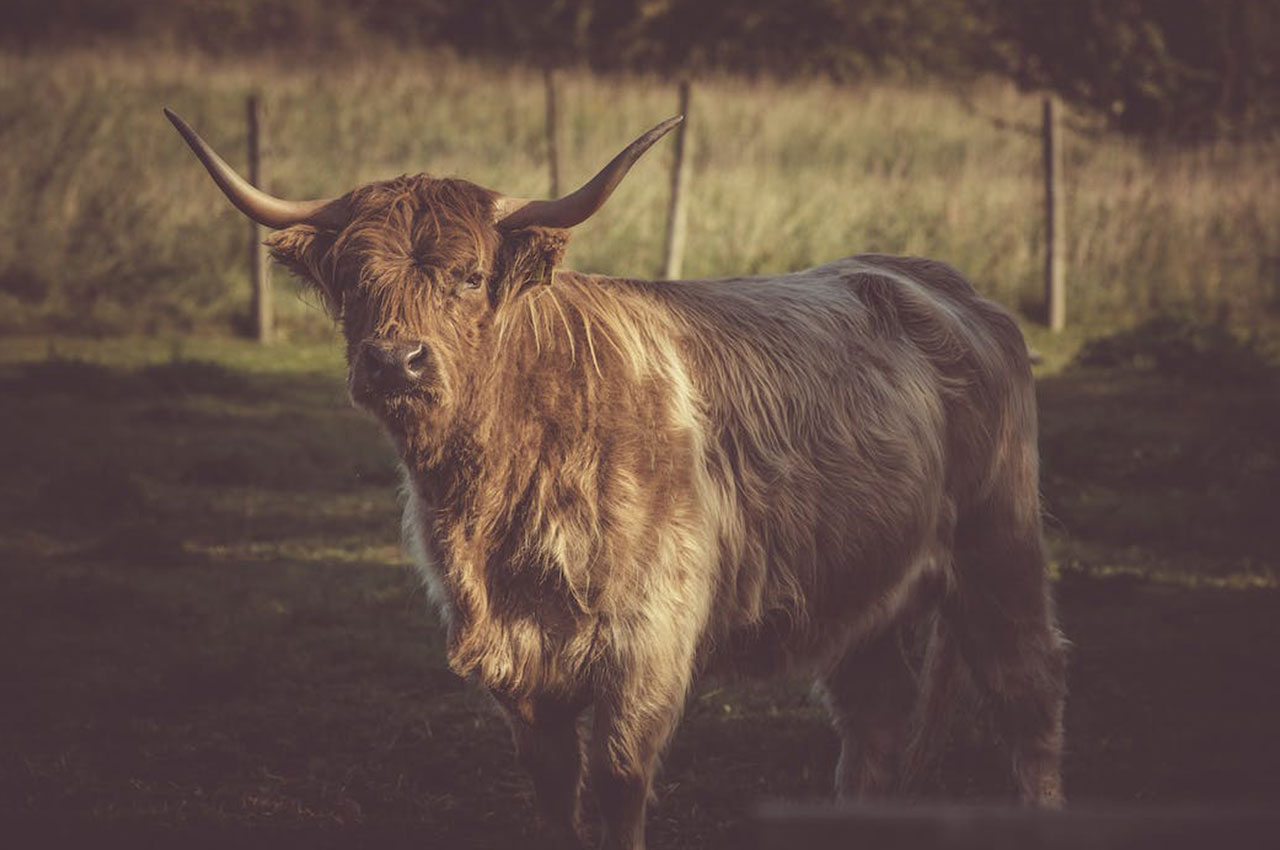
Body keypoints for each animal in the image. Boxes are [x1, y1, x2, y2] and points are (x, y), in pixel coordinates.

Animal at [170, 108, 1070, 850]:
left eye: (469, 275)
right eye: (355, 281)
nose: (396, 360)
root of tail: (942, 283)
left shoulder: (647, 640)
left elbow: (616, 781)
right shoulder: (517, 659)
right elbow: (551, 788)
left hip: (1000, 555)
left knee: (1028, 704)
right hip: (858, 589)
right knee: (876, 722)